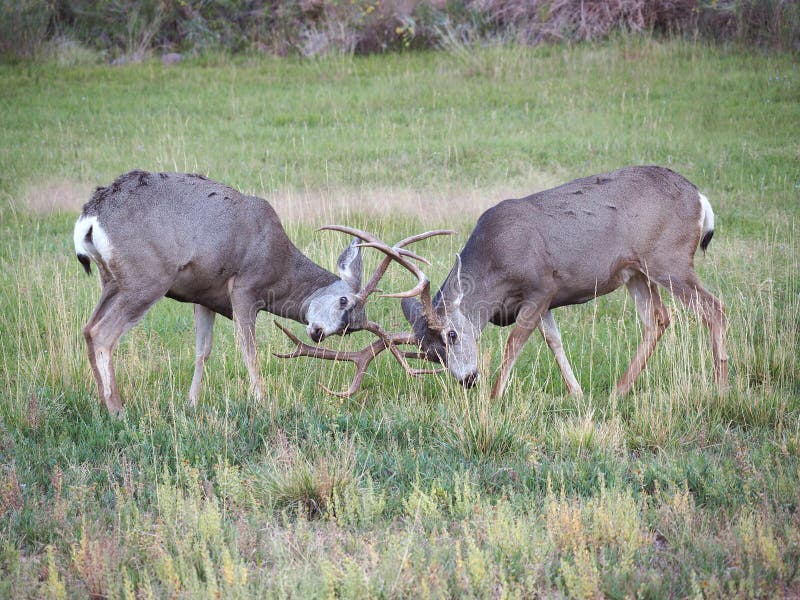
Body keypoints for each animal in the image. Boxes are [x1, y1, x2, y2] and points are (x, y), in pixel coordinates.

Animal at [73, 168, 450, 412]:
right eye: (344, 300)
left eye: (347, 330)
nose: (316, 332)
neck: (277, 263)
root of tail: (91, 216)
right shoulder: (244, 287)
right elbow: (249, 350)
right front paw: (262, 401)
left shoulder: (203, 296)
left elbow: (202, 351)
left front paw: (191, 404)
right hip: (146, 278)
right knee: (103, 334)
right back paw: (117, 409)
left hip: (112, 280)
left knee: (89, 330)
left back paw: (102, 402)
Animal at [388, 164, 732, 398]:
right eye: (431, 353)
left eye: (452, 335)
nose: (468, 380)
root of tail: (700, 198)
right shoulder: (543, 301)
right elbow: (554, 341)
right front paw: (577, 393)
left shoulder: (542, 286)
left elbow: (514, 342)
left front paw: (496, 395)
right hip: (636, 272)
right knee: (658, 319)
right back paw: (618, 391)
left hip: (669, 260)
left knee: (714, 307)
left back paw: (720, 388)